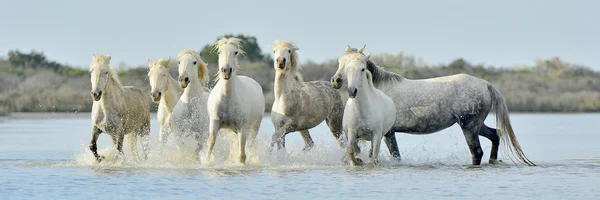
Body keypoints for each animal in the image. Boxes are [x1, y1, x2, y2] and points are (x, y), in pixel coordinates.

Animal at [332, 45, 536, 166]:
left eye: (360, 67)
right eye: (340, 62)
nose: (336, 81)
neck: (378, 91)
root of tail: (485, 84)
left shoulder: (387, 133)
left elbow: (394, 155)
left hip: (469, 126)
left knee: (477, 152)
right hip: (476, 124)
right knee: (495, 134)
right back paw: (493, 161)